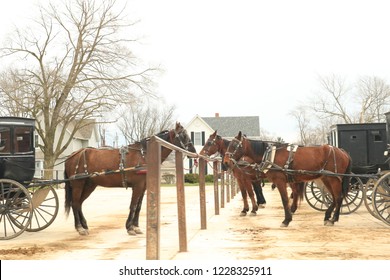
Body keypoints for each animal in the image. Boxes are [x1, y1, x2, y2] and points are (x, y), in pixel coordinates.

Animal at [65, 123, 197, 235]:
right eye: (183, 135)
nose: (194, 152)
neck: (144, 154)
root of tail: (72, 155)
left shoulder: (143, 187)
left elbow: (138, 207)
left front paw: (136, 227)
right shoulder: (137, 186)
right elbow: (133, 206)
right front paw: (129, 228)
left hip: (89, 185)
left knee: (79, 204)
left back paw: (84, 225)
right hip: (78, 185)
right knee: (75, 203)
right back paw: (80, 228)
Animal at [224, 132, 352, 228]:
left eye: (235, 145)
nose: (225, 162)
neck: (271, 155)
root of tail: (342, 151)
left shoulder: (280, 181)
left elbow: (285, 200)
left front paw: (286, 220)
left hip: (334, 179)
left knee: (338, 197)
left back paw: (333, 219)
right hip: (327, 179)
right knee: (335, 198)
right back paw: (327, 216)